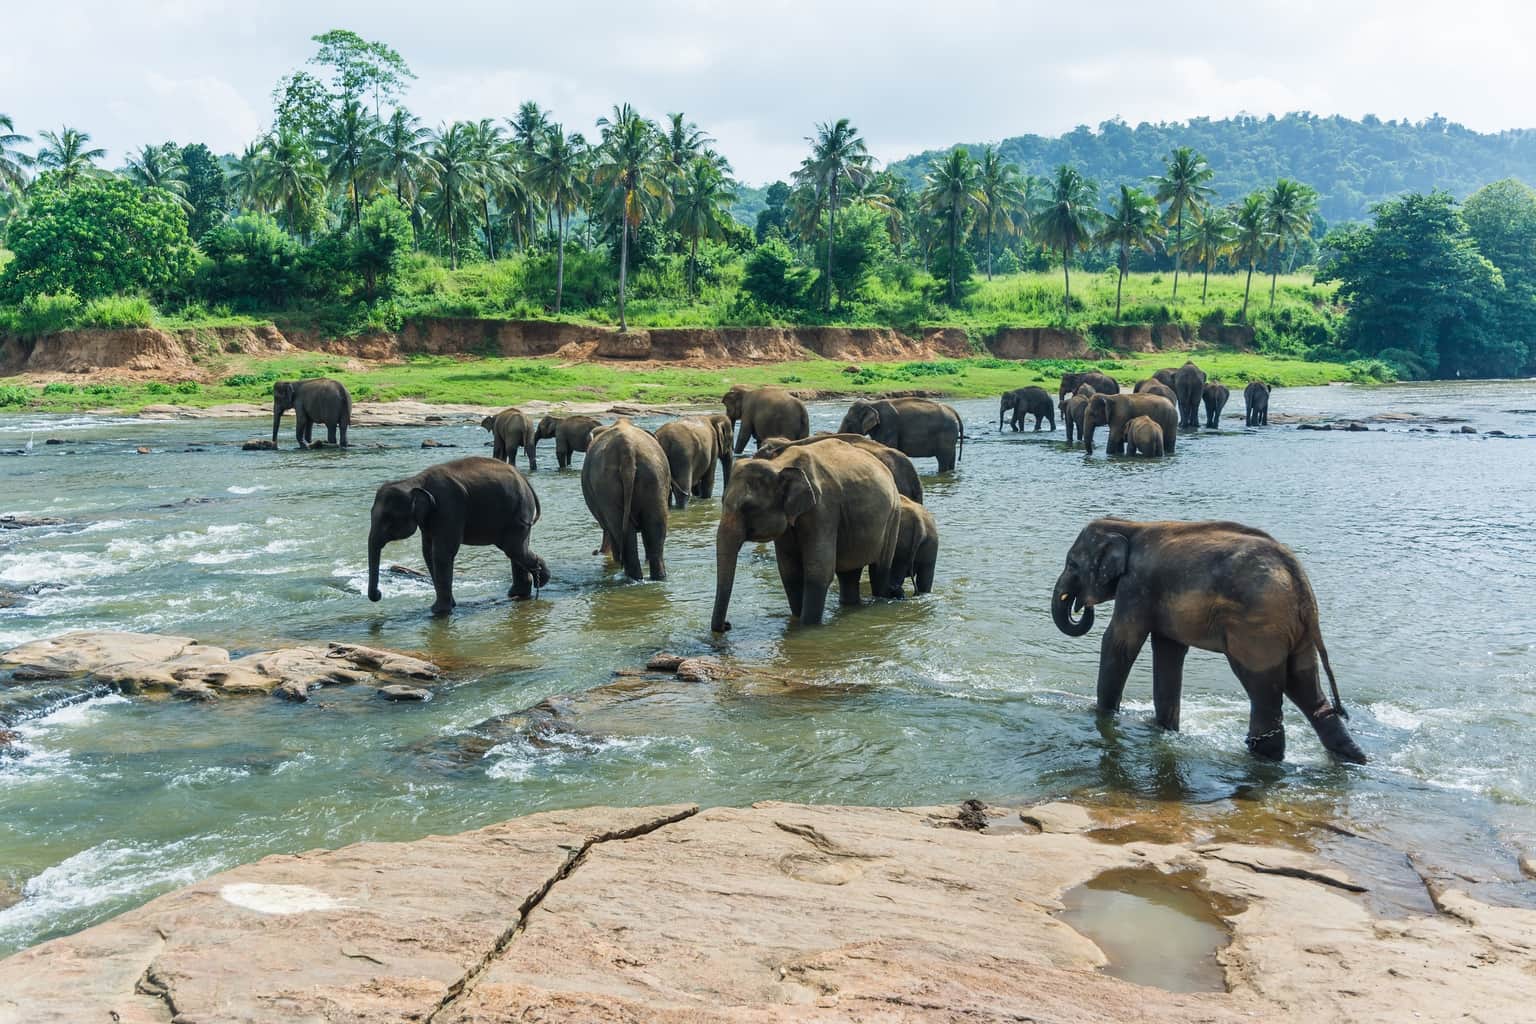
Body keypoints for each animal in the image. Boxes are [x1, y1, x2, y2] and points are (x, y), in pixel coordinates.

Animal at [366, 457, 549, 617]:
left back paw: (541, 580)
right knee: (516, 549)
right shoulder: (430, 519)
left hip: (519, 510)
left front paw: (438, 612)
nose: (379, 594)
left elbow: (441, 553)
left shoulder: (448, 507)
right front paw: (449, 606)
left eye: (388, 518)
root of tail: (524, 479)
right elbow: (428, 553)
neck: (415, 481)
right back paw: (520, 592)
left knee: (513, 548)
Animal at [581, 419, 671, 581]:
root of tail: (627, 449)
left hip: (606, 486)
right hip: (654, 477)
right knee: (655, 529)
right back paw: (654, 578)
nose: (595, 551)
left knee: (618, 530)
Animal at [711, 441, 900, 631]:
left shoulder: (823, 510)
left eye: (748, 507)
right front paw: (797, 620)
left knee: (879, 570)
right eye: (722, 501)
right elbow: (789, 572)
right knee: (848, 573)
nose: (727, 625)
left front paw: (807, 627)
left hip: (893, 517)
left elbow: (819, 571)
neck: (779, 464)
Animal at [1049, 518, 1366, 764]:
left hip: (1256, 628)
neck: (1129, 525)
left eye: (1072, 564)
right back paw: (1351, 758)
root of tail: (1298, 576)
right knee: (1305, 685)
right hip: (1294, 630)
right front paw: (1164, 729)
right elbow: (1168, 650)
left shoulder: (1136, 586)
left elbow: (1119, 641)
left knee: (1262, 686)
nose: (1080, 605)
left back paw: (1263, 754)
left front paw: (1102, 715)